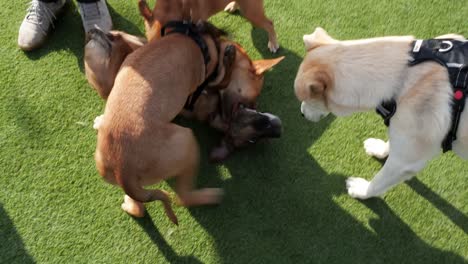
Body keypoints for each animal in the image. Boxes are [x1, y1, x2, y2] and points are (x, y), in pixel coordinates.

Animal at [294, 27, 466, 199]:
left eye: (307, 100)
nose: (301, 114)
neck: (403, 76)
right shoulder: (403, 133)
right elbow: (391, 143)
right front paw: (379, 149)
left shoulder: (404, 162)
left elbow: (378, 182)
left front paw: (361, 190)